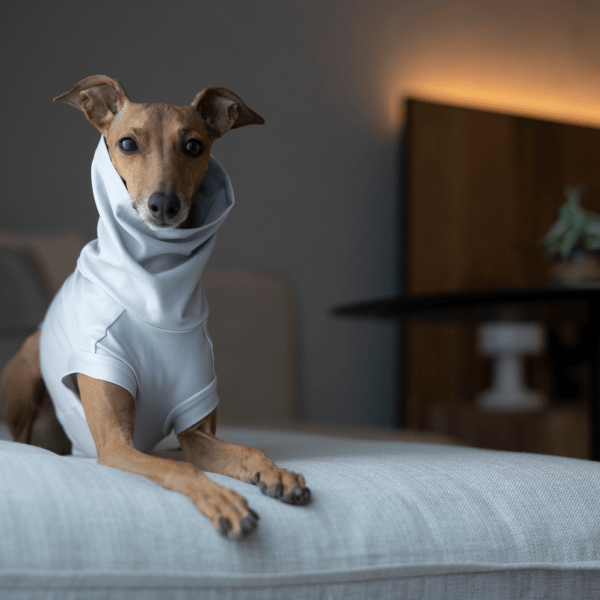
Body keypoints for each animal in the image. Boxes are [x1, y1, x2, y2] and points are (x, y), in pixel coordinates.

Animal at [3, 75, 314, 540]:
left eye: (194, 146)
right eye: (127, 143)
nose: (164, 205)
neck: (157, 292)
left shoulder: (196, 433)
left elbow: (244, 450)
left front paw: (275, 473)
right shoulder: (115, 446)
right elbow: (181, 471)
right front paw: (222, 500)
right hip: (28, 361)